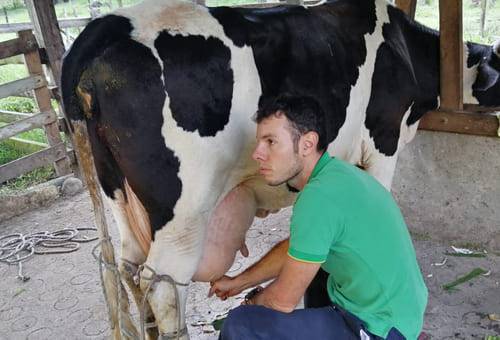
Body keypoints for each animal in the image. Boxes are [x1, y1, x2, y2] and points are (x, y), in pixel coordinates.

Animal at [61, 0, 500, 338]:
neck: (405, 49)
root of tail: (109, 25)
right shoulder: (382, 142)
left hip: (120, 197)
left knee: (127, 271)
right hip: (184, 210)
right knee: (163, 289)